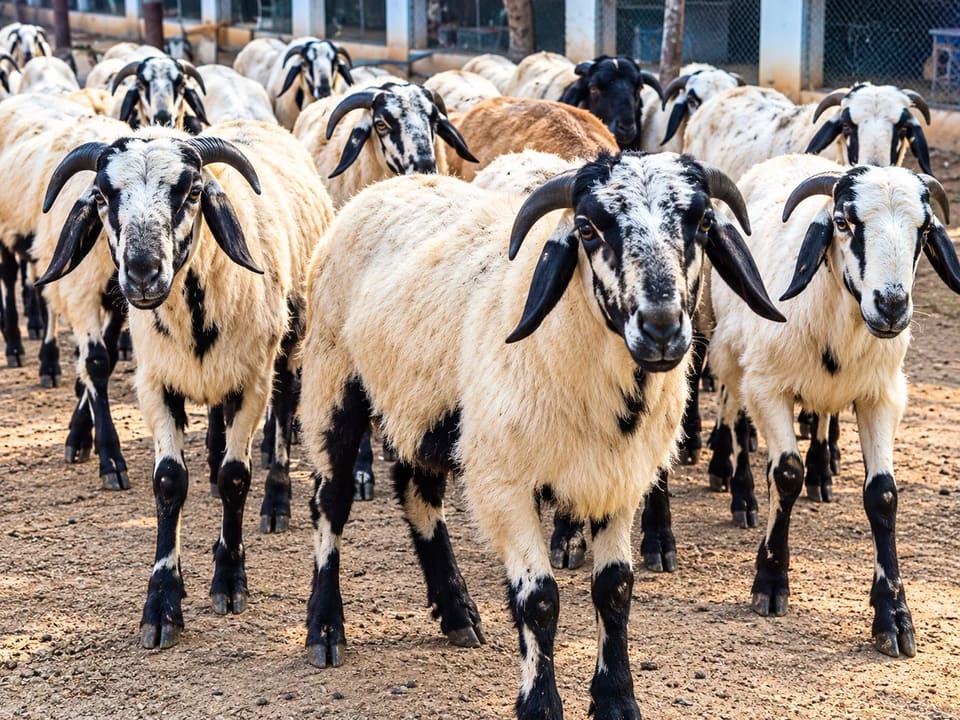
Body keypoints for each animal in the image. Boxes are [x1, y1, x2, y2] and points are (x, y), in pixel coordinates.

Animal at [36, 120, 334, 648]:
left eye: (193, 191)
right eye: (102, 196)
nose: (142, 272)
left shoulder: (252, 381)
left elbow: (237, 476)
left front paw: (229, 581)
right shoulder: (156, 384)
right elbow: (169, 482)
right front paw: (161, 605)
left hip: (291, 343)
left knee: (284, 410)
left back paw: (276, 501)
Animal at [296, 150, 785, 717]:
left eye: (704, 223)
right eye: (587, 228)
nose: (662, 328)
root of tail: (379, 189)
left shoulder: (616, 479)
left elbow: (615, 589)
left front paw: (617, 699)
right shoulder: (503, 483)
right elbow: (539, 600)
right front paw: (541, 704)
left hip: (418, 408)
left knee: (417, 493)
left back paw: (457, 612)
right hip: (332, 382)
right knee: (329, 502)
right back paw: (325, 630)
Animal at [707, 153, 955, 659]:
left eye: (924, 230)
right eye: (843, 221)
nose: (892, 305)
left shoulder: (882, 395)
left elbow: (883, 494)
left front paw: (894, 616)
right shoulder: (769, 387)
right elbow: (785, 474)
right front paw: (769, 582)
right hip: (730, 355)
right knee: (735, 417)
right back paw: (740, 493)